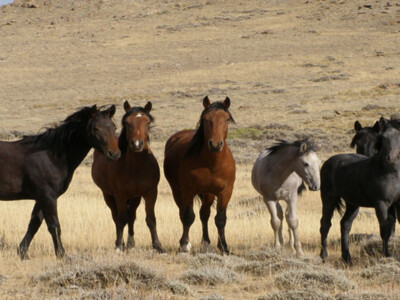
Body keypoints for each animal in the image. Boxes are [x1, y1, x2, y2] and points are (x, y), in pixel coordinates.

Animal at [0, 105, 120, 258]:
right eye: (96, 128)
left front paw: (23, 253)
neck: (51, 156)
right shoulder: (48, 197)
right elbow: (54, 226)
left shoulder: (41, 198)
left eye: (114, 127)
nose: (114, 154)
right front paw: (62, 255)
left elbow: (34, 224)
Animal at [91, 101, 163, 253]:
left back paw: (130, 243)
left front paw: (158, 245)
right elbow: (121, 219)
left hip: (135, 197)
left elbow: (150, 219)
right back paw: (122, 243)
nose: (137, 144)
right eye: (127, 122)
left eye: (147, 122)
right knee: (116, 216)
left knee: (132, 216)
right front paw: (119, 246)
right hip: (108, 195)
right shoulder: (120, 195)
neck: (136, 167)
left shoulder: (150, 192)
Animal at [164, 95, 236, 253]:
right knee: (183, 213)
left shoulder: (225, 191)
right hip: (177, 191)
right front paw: (184, 246)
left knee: (204, 214)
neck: (212, 164)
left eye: (226, 119)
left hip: (208, 193)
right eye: (205, 119)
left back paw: (206, 242)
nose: (215, 144)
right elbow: (188, 216)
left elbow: (220, 218)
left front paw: (224, 247)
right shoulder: (188, 191)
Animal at [320, 127, 400, 264]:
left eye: (399, 137)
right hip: (329, 199)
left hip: (352, 204)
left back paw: (347, 257)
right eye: (383, 138)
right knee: (325, 224)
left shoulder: (397, 204)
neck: (391, 173)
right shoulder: (381, 204)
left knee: (345, 225)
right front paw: (387, 255)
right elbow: (385, 230)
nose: (390, 157)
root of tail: (327, 163)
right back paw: (324, 256)